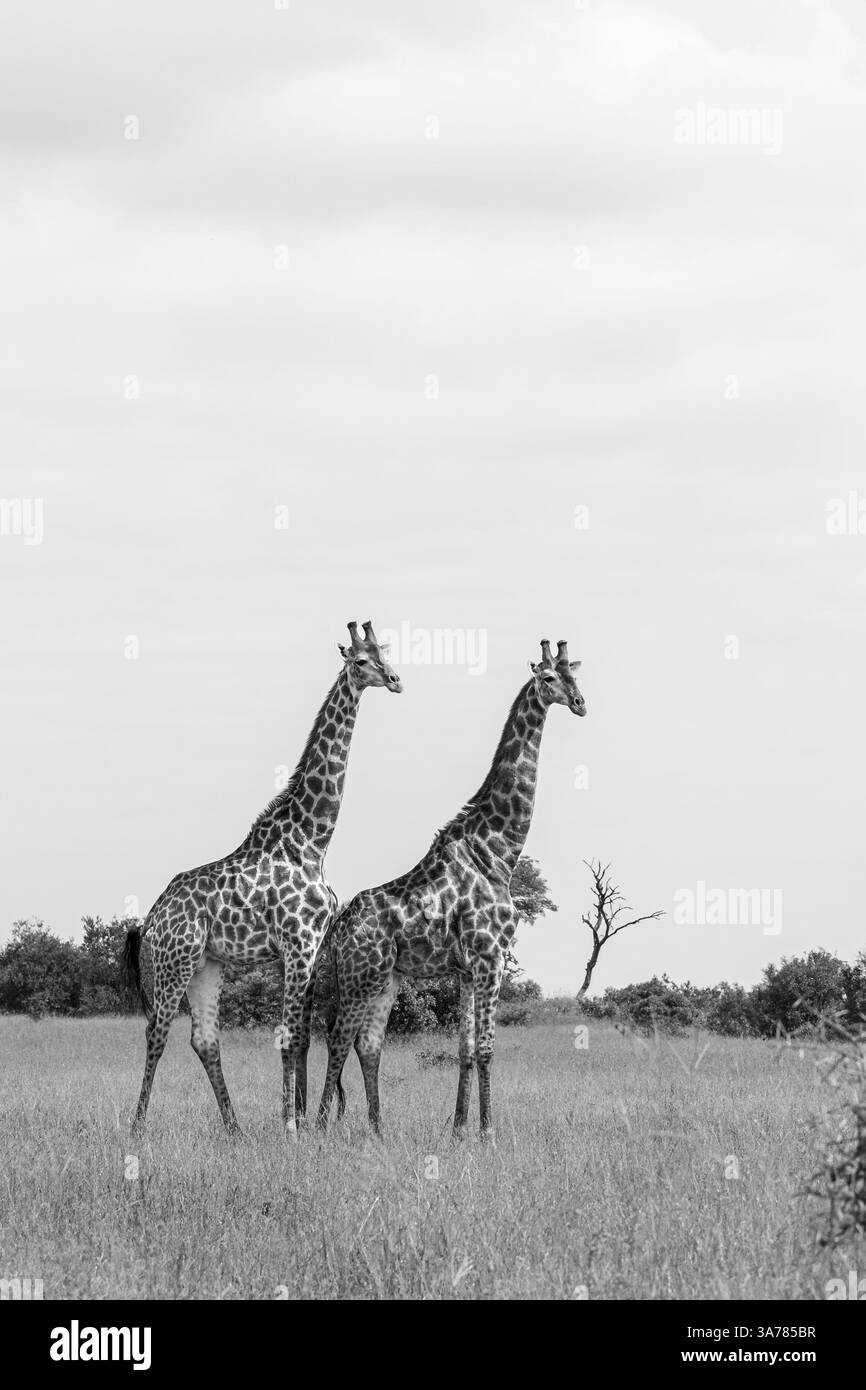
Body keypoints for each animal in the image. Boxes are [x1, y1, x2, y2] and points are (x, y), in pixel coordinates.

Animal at [122, 620, 402, 1137]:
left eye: (386, 653)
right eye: (360, 661)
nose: (394, 680)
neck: (312, 841)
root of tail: (150, 918)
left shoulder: (311, 947)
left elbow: (303, 1037)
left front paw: (300, 1120)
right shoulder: (297, 943)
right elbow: (289, 1036)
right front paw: (291, 1125)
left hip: (207, 966)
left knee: (204, 1039)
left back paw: (234, 1128)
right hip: (174, 962)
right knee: (156, 1032)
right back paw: (137, 1127)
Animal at [317, 638, 585, 1142]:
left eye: (575, 674)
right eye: (548, 678)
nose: (581, 703)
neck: (498, 851)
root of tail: (337, 930)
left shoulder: (464, 968)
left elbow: (464, 1048)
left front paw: (460, 1129)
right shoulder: (490, 956)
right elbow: (486, 1047)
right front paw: (488, 1132)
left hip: (387, 978)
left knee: (369, 1042)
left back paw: (377, 1129)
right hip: (361, 975)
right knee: (340, 1037)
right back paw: (319, 1126)